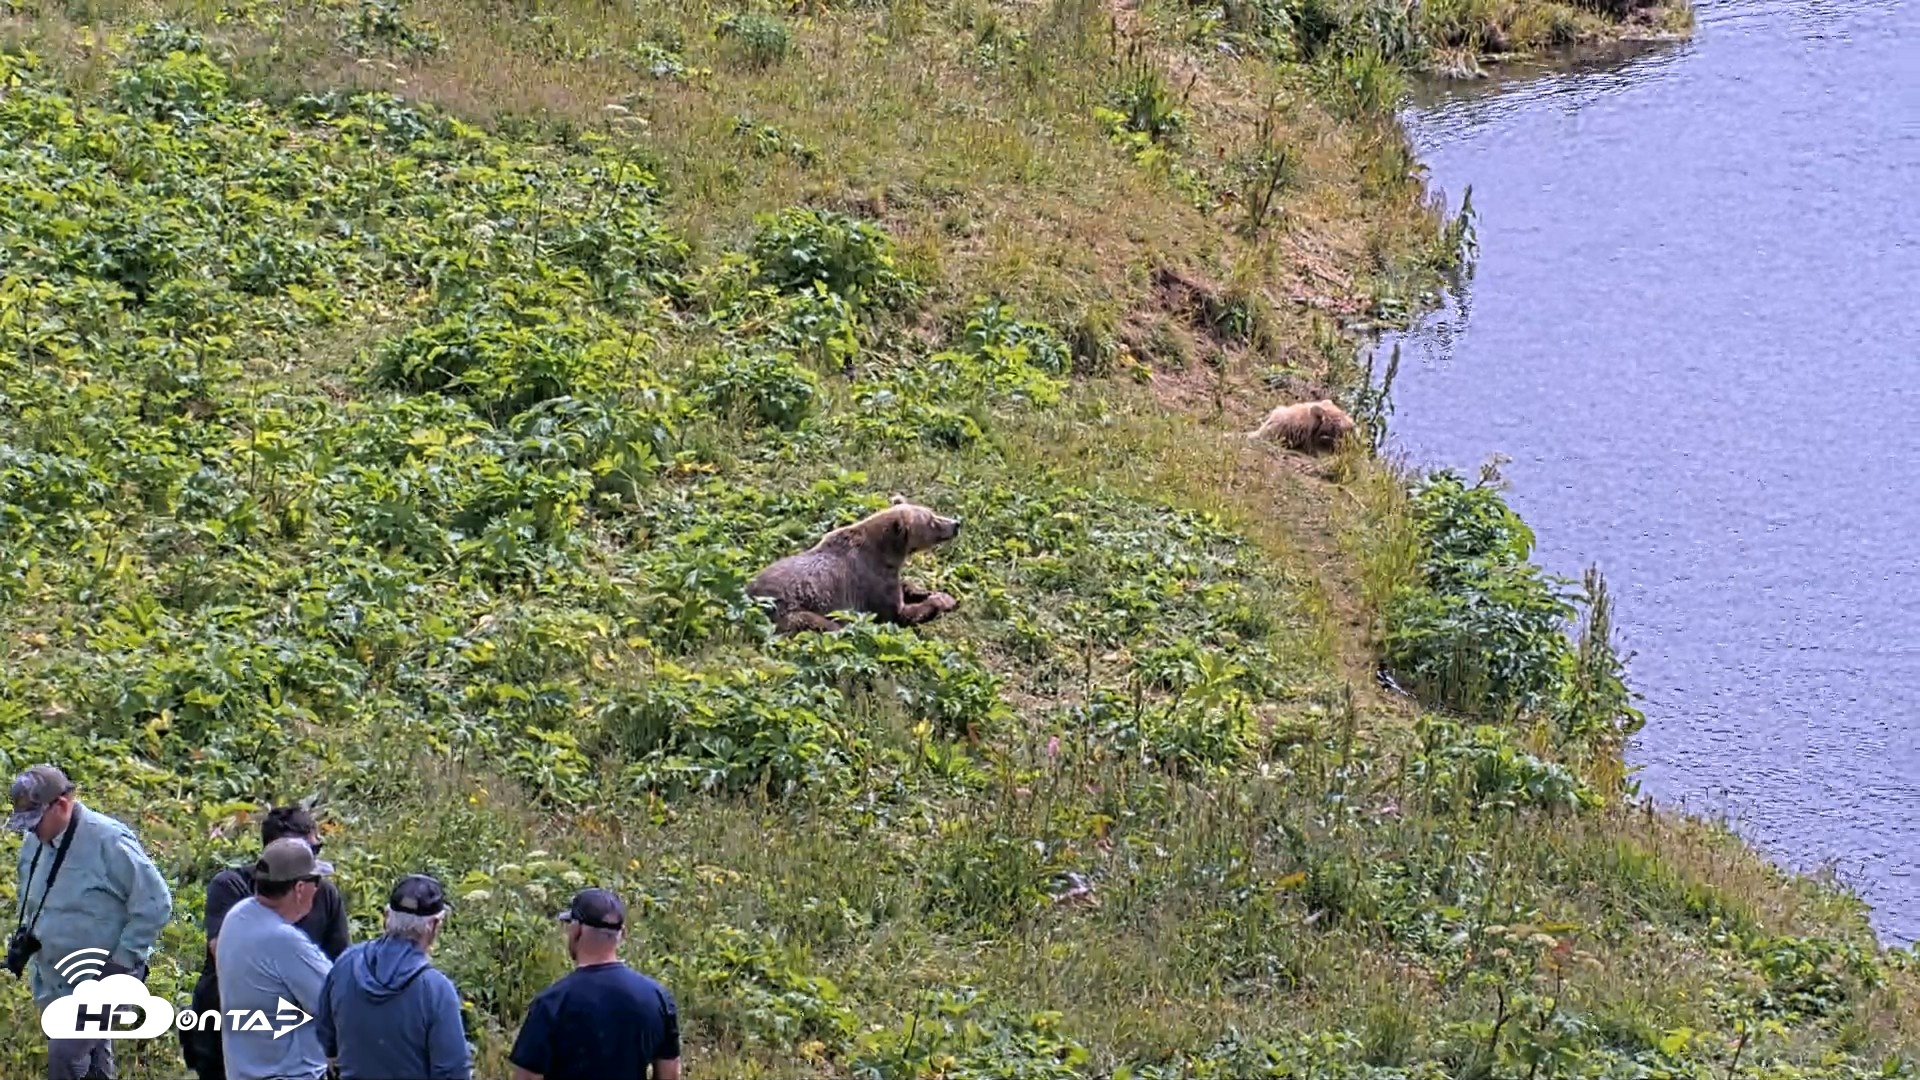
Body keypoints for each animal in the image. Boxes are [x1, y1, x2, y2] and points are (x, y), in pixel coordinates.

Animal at [747, 496, 963, 634]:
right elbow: (896, 613)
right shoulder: (869, 581)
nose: (956, 524)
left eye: (932, 513)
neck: (888, 553)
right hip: (788, 608)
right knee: (821, 624)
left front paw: (926, 591)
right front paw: (942, 601)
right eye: (932, 521)